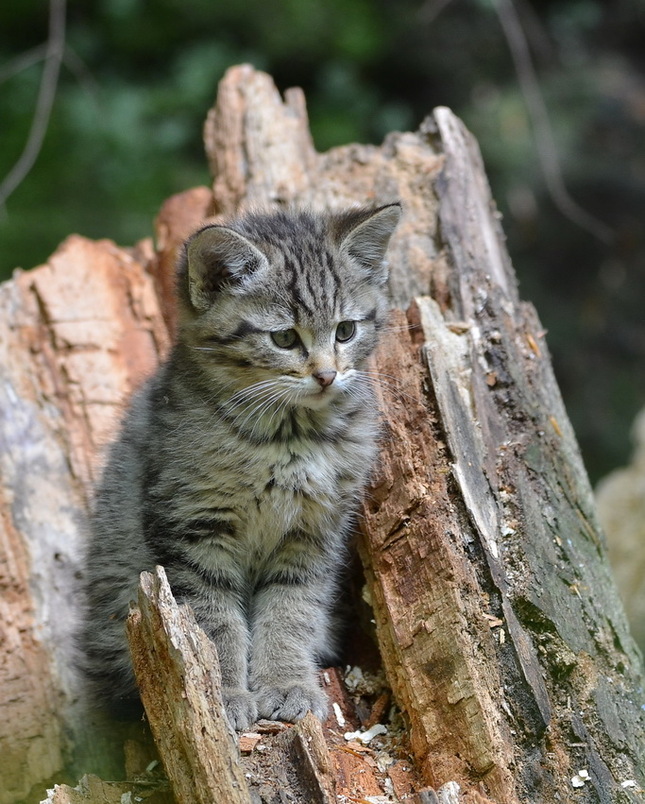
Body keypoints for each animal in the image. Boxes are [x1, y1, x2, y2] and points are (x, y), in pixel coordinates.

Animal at [83, 201, 400, 728]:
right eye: (285, 337)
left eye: (346, 331)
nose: (327, 375)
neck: (289, 438)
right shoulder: (193, 528)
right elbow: (212, 619)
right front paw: (224, 694)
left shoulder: (314, 532)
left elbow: (292, 609)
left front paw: (287, 683)